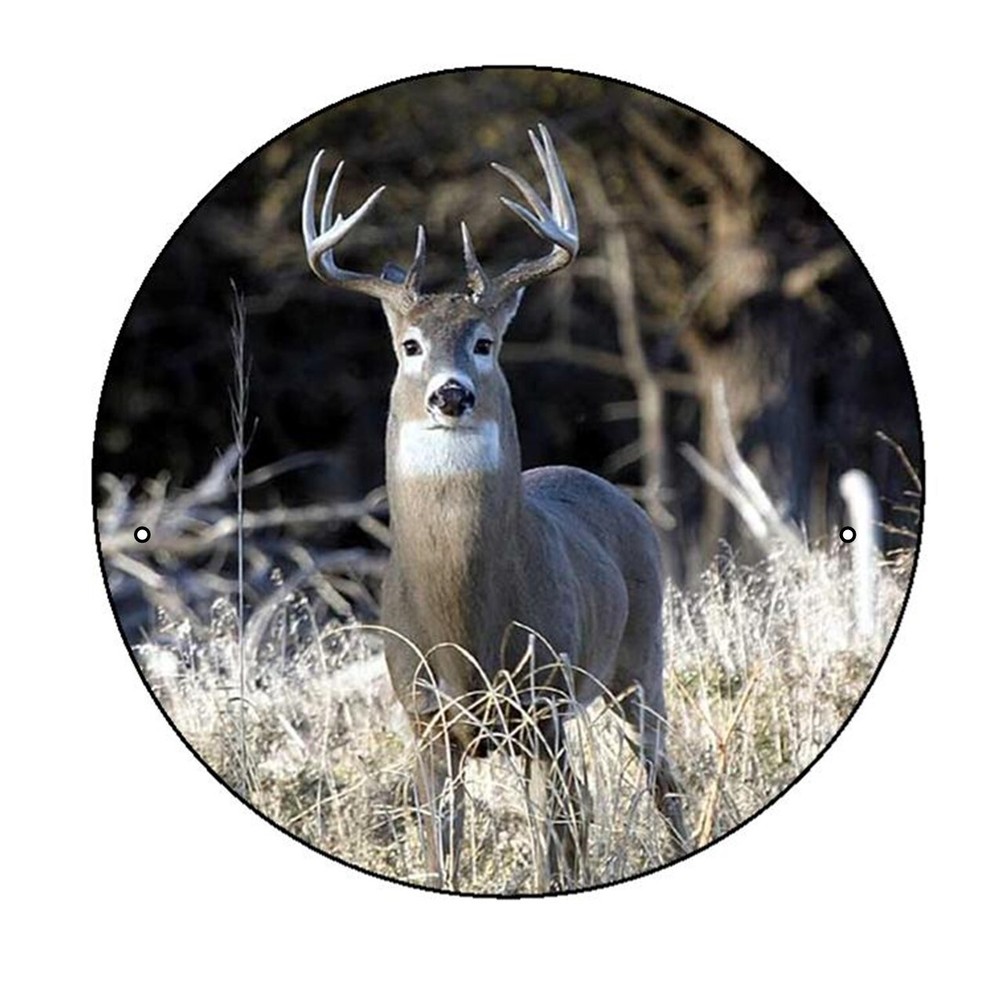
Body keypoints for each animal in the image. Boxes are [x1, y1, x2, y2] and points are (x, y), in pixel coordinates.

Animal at [302, 125, 687, 890]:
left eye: (484, 342)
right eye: (410, 345)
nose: (451, 393)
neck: (467, 633)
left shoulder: (543, 702)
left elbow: (555, 841)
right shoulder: (422, 715)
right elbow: (441, 851)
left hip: (640, 657)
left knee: (659, 784)